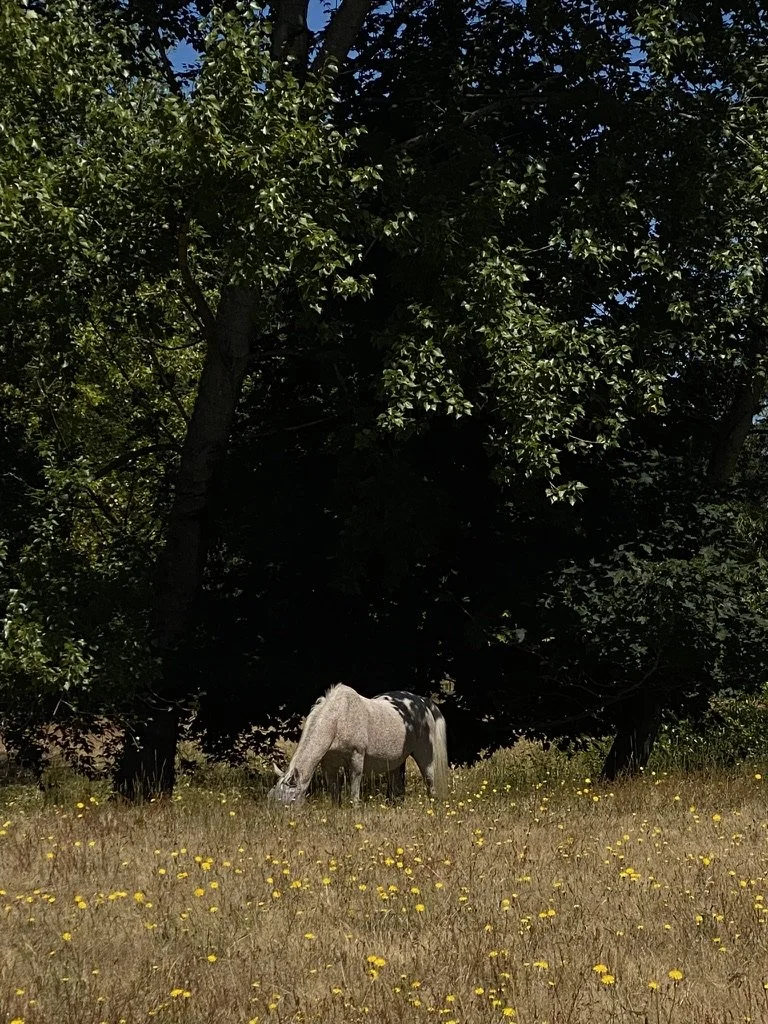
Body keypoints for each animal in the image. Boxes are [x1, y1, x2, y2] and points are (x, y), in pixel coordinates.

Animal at [268, 683, 449, 805]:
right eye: (271, 797)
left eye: (292, 799)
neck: (338, 720)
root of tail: (422, 702)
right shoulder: (328, 765)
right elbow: (334, 792)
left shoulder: (356, 758)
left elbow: (354, 789)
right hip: (396, 761)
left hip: (425, 756)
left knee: (430, 782)